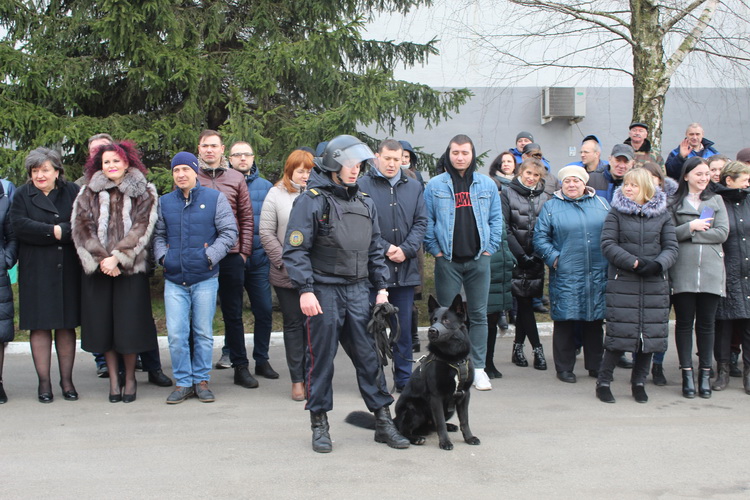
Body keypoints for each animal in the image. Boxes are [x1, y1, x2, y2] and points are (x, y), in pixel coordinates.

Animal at [346, 294, 482, 452]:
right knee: (406, 430)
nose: (432, 330)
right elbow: (440, 422)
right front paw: (445, 442)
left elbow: (464, 420)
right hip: (415, 408)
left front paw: (469, 438)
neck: (453, 359)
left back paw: (449, 426)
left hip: (449, 409)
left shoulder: (464, 395)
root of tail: (396, 419)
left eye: (446, 320)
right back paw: (415, 438)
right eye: (433, 320)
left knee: (432, 425)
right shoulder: (436, 397)